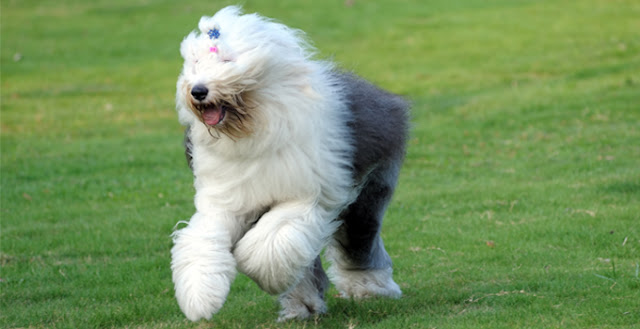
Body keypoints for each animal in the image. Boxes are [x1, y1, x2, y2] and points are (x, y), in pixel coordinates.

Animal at [170, 6, 410, 322]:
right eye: (195, 62)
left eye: (227, 60)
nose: (197, 91)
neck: (255, 131)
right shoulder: (228, 199)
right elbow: (203, 239)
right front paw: (199, 295)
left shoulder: (304, 198)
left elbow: (270, 243)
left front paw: (254, 266)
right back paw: (302, 307)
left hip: (368, 191)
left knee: (359, 238)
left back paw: (371, 287)